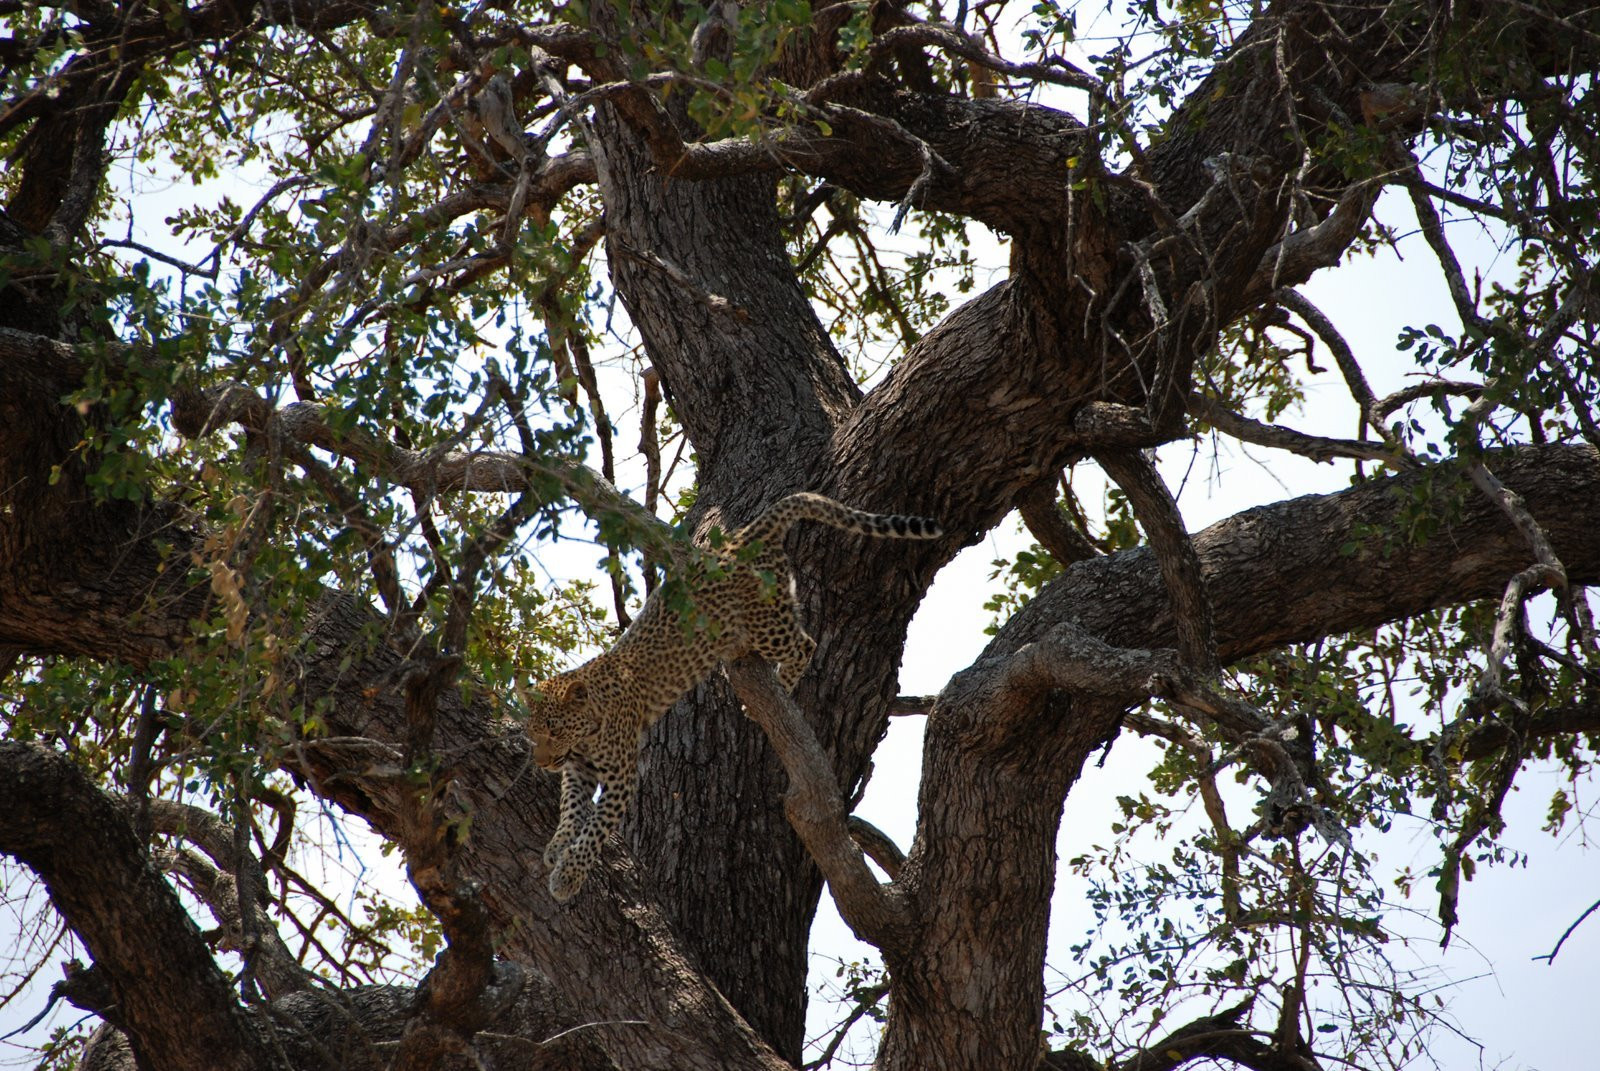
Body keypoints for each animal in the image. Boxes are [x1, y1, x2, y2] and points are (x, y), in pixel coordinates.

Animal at [523, 492, 942, 901]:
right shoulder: (578, 769)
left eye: (555, 731)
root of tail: (746, 536)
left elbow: (593, 828)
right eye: (533, 734)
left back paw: (776, 689)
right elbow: (570, 808)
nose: (541, 762)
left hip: (766, 623)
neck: (588, 728)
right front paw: (557, 846)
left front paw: (568, 876)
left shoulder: (620, 777)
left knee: (805, 644)